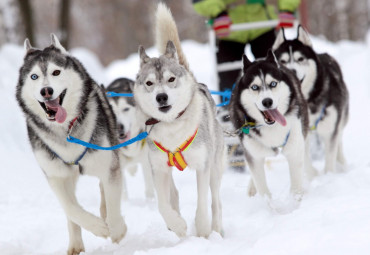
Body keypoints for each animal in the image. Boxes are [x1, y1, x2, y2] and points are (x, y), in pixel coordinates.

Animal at [15, 34, 127, 255]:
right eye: (34, 76)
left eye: (56, 72)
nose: (46, 91)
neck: (66, 131)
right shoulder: (56, 176)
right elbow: (70, 208)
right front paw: (98, 227)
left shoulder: (108, 166)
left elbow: (112, 200)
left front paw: (117, 229)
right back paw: (76, 245)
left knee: (105, 193)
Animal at [134, 2, 224, 237]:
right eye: (149, 83)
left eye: (171, 79)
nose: (161, 97)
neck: (172, 126)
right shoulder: (158, 170)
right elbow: (162, 205)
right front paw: (177, 224)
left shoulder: (202, 165)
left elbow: (202, 202)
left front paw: (202, 229)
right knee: (172, 195)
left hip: (215, 167)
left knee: (216, 201)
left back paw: (217, 229)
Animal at [230, 50, 310, 200]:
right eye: (254, 87)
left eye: (273, 84)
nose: (267, 101)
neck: (272, 128)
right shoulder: (254, 155)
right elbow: (263, 190)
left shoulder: (294, 148)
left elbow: (296, 186)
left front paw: (295, 202)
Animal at [274, 25, 348, 173]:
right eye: (282, 62)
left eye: (300, 59)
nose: (292, 71)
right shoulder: (300, 132)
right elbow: (305, 159)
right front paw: (313, 174)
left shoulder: (331, 130)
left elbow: (330, 157)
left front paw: (329, 175)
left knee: (339, 142)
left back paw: (342, 164)